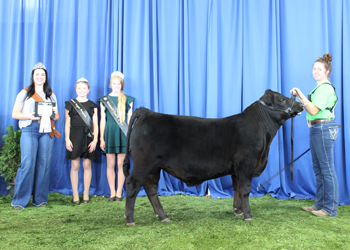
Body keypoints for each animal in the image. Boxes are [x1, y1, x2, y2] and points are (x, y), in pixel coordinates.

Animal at [123, 90, 304, 227]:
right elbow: (245, 190)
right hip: (143, 163)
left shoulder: (236, 170)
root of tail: (147, 112)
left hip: (154, 167)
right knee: (133, 185)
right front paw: (248, 215)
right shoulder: (246, 165)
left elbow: (237, 189)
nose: (301, 105)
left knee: (151, 188)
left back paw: (163, 216)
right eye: (282, 99)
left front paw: (237, 211)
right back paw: (130, 219)